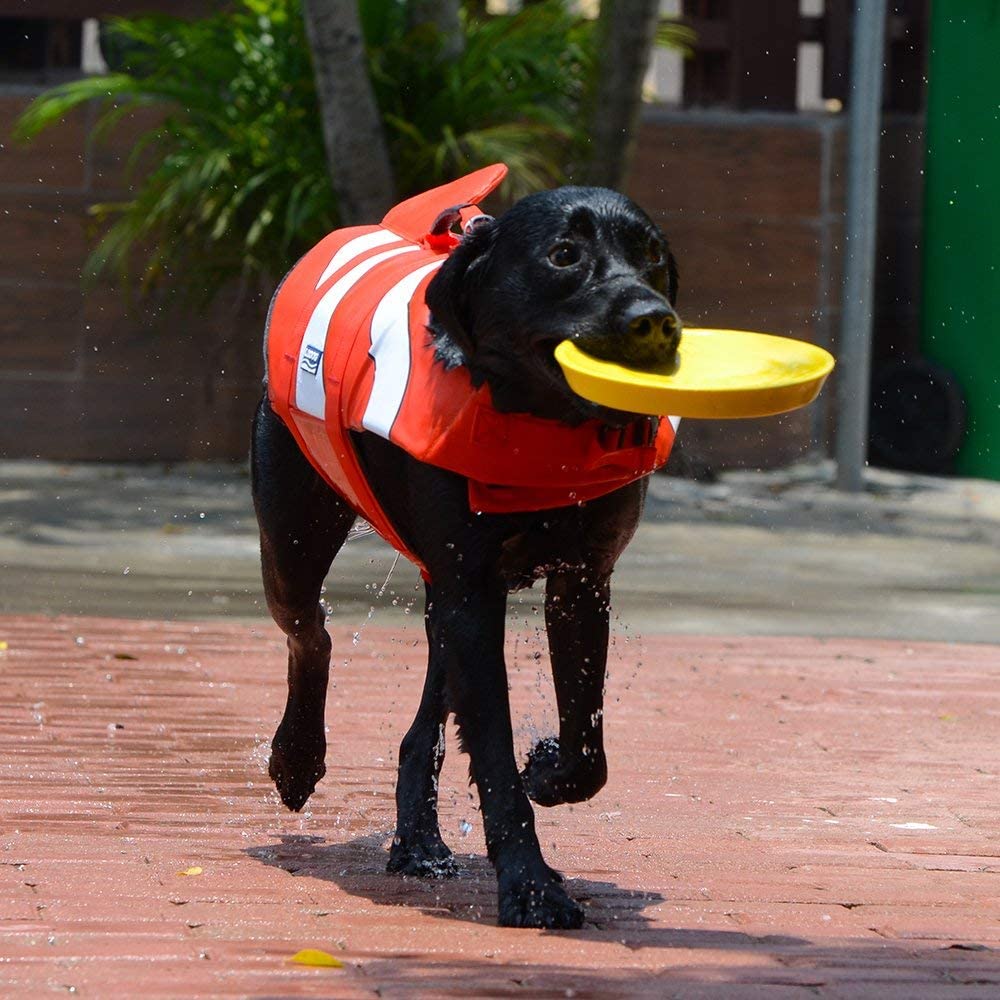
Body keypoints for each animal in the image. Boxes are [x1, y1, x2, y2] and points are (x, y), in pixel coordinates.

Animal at [250, 184, 680, 924]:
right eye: (563, 255)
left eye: (652, 255)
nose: (653, 320)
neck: (540, 425)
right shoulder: (472, 593)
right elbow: (497, 757)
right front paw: (532, 888)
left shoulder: (579, 580)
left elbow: (585, 743)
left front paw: (548, 767)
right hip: (293, 539)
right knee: (312, 634)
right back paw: (297, 758)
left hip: (437, 597)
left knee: (419, 725)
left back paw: (419, 843)